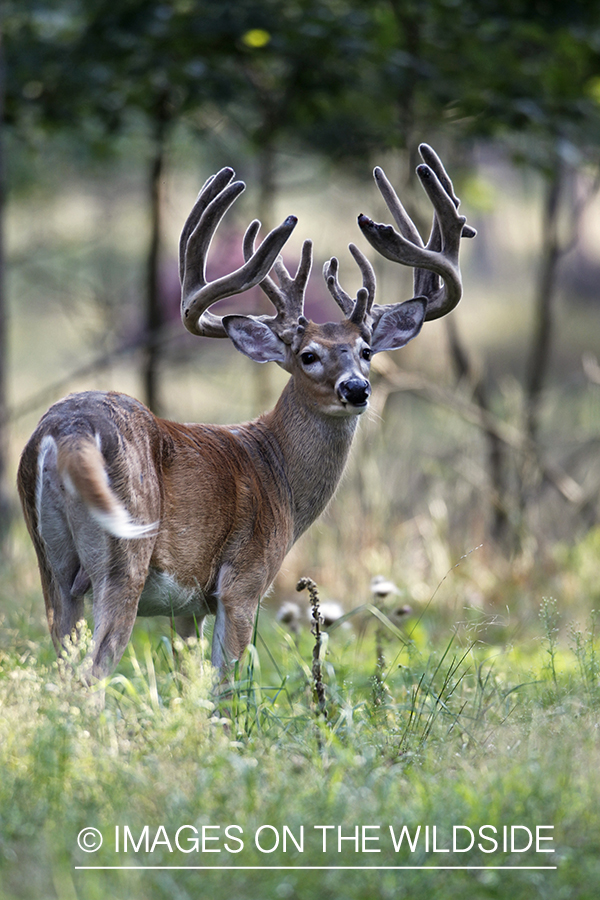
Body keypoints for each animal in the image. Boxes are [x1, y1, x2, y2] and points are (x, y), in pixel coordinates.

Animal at [16, 146, 474, 684]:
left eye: (366, 352)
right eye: (308, 355)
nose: (357, 389)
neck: (277, 473)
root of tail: (65, 429)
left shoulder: (185, 604)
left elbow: (186, 682)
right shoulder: (243, 580)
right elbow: (225, 686)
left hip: (51, 563)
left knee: (62, 670)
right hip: (122, 556)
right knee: (92, 672)